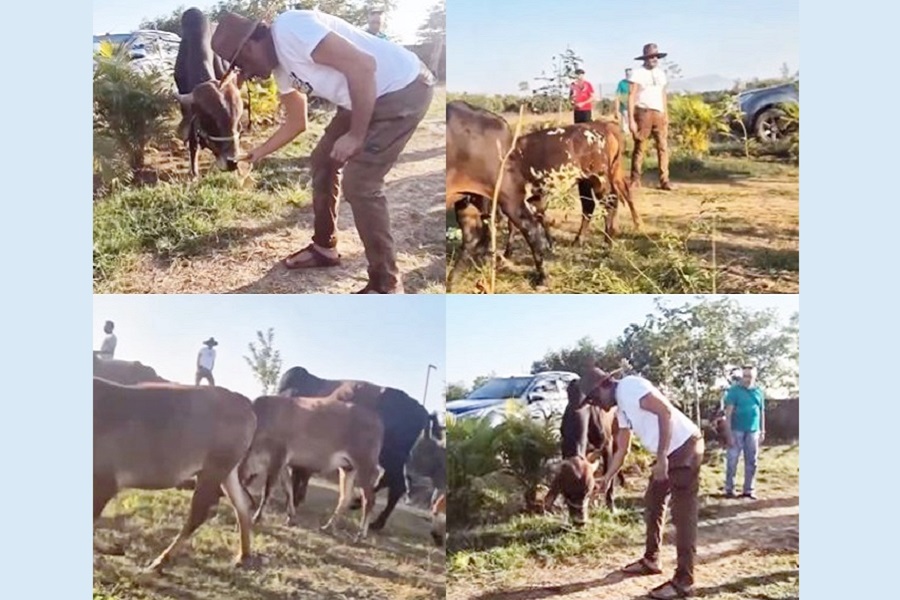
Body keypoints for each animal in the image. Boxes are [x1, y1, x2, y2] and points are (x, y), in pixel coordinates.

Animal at [93, 378, 255, 568]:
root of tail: (244, 402)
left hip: (213, 471)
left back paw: (161, 561)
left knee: (198, 515)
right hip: (226, 473)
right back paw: (243, 555)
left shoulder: (105, 483)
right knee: (241, 506)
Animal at [174, 8, 244, 177]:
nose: (233, 163)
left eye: (237, 117)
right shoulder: (188, 109)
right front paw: (194, 173)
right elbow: (193, 140)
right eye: (210, 119)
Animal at [276, 366, 430, 528]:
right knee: (390, 482)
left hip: (388, 457)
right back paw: (363, 509)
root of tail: (421, 410)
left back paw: (374, 520)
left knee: (395, 484)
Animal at [444, 101, 544, 288]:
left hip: (509, 195)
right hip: (468, 198)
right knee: (474, 237)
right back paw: (452, 281)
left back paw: (542, 278)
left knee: (531, 229)